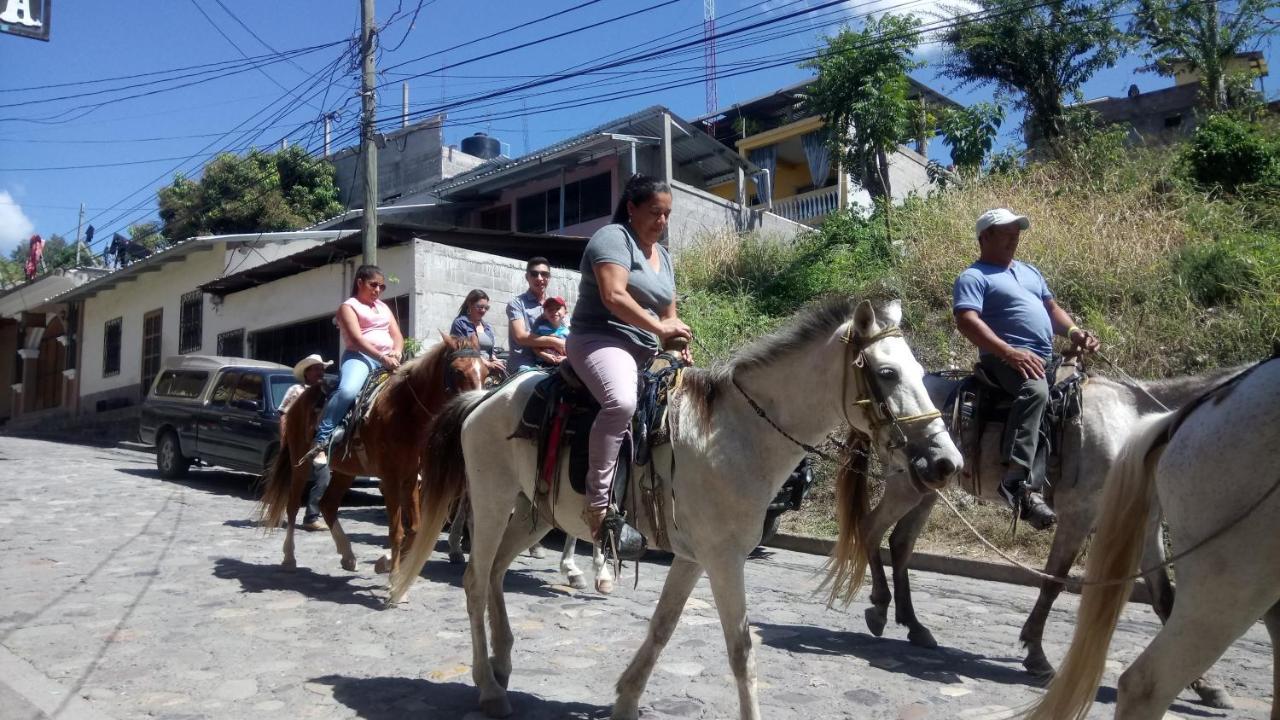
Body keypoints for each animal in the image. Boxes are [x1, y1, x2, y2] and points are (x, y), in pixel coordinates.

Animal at [254, 333, 483, 573]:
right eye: (457, 371)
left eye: (486, 370)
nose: (474, 412)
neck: (404, 410)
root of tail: (299, 400)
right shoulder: (390, 479)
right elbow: (397, 530)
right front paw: (394, 576)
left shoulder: (410, 476)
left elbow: (415, 528)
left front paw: (387, 562)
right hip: (300, 464)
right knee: (292, 506)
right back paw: (289, 557)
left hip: (345, 470)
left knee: (328, 504)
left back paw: (347, 556)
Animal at [389, 298, 962, 717]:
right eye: (886, 374)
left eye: (917, 371)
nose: (945, 461)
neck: (735, 435)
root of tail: (487, 396)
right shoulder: (724, 561)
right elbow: (741, 649)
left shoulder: (692, 558)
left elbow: (663, 628)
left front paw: (625, 699)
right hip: (490, 502)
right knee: (474, 579)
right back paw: (488, 687)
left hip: (534, 515)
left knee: (495, 575)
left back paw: (502, 664)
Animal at [844, 361, 1244, 702]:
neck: (1133, 429)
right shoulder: (1079, 515)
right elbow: (1054, 581)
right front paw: (1036, 654)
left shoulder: (1146, 527)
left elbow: (1165, 598)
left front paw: (1206, 685)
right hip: (905, 487)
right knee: (871, 528)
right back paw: (879, 608)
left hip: (927, 489)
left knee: (901, 543)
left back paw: (914, 626)